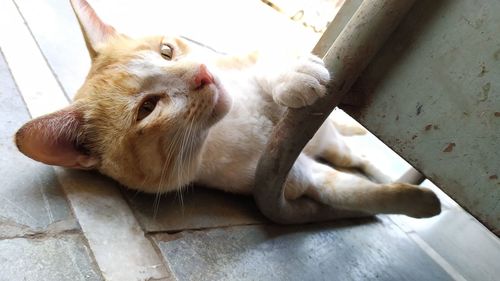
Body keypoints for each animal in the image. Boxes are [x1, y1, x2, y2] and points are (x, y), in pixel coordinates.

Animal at [14, 0, 442, 218]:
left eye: (166, 51)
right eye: (148, 108)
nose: (202, 75)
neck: (232, 125)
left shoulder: (251, 58)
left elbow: (270, 66)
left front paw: (295, 77)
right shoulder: (293, 176)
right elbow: (357, 194)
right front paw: (421, 204)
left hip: (332, 140)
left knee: (356, 154)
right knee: (353, 162)